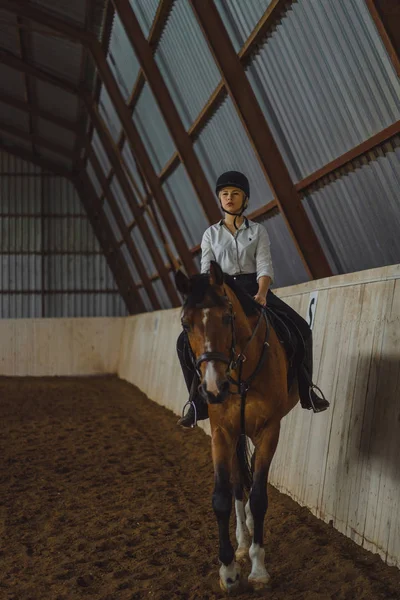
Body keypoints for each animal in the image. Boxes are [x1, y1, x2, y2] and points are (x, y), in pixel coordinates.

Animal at [175, 262, 300, 592]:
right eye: (185, 323)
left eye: (227, 317)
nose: (213, 388)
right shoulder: (222, 433)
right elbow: (223, 497)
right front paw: (229, 571)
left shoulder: (270, 430)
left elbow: (259, 497)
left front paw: (258, 569)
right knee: (237, 484)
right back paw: (243, 542)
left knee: (250, 479)